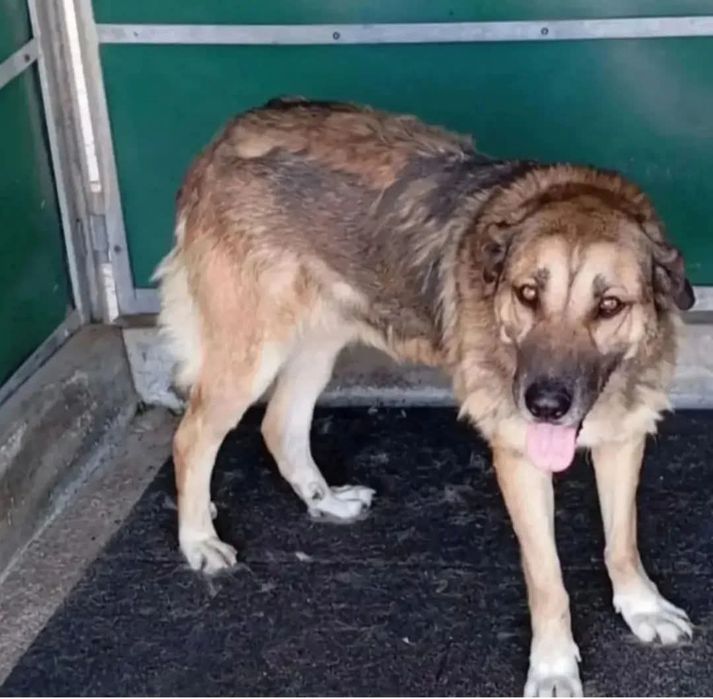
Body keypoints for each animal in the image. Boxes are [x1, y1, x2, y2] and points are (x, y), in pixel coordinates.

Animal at [155, 97, 695, 697]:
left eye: (609, 306)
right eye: (528, 294)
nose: (545, 406)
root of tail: (227, 136)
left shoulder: (623, 438)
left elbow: (622, 542)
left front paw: (641, 606)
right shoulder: (519, 457)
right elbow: (547, 578)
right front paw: (554, 665)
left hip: (319, 340)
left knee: (279, 425)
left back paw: (323, 499)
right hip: (251, 352)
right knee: (192, 437)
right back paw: (198, 539)